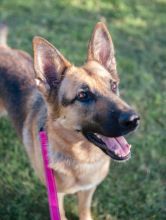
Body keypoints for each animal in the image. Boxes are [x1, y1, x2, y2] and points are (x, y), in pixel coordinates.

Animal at [0, 21, 139, 220]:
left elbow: (84, 210)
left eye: (113, 85)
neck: (82, 157)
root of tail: (3, 49)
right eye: (83, 95)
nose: (134, 119)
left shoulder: (88, 190)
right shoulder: (56, 195)